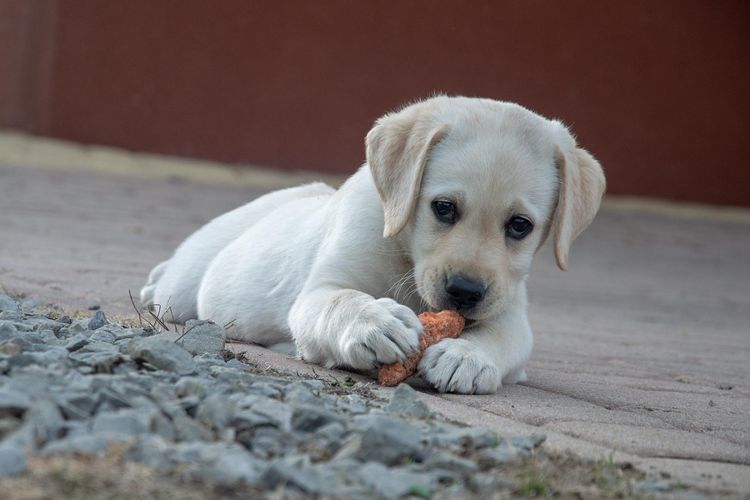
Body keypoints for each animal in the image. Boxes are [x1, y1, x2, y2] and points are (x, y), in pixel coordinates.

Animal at [141, 95, 608, 394]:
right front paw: (375, 323)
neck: (405, 254)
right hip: (185, 287)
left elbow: (501, 337)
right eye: (443, 208)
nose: (464, 292)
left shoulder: (510, 311)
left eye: (519, 226)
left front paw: (467, 356)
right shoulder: (319, 292)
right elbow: (341, 301)